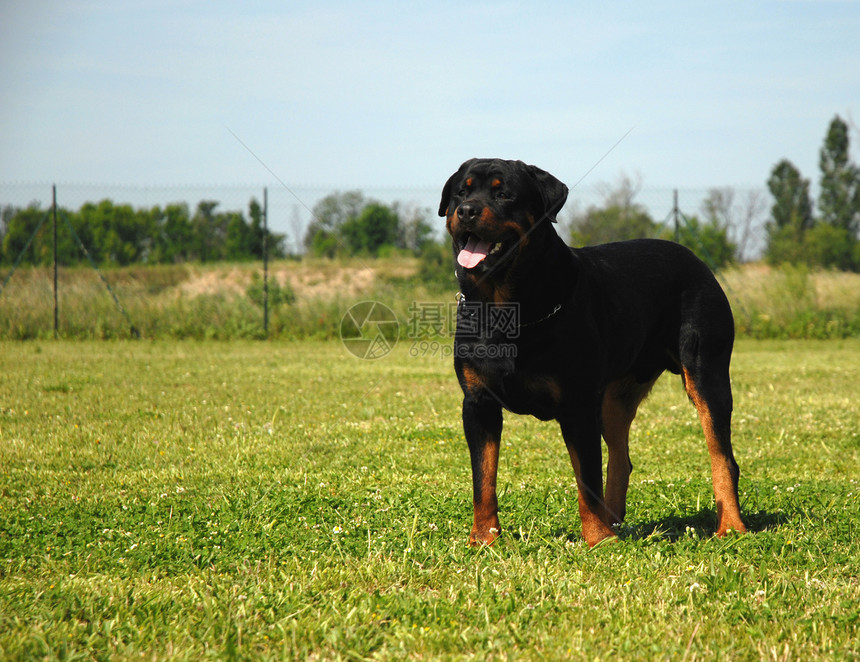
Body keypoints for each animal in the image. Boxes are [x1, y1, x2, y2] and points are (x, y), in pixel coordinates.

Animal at [436, 158, 744, 548]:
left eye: (503, 194)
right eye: (461, 193)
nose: (467, 210)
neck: (506, 307)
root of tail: (697, 260)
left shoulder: (578, 404)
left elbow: (587, 478)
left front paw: (596, 538)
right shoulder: (479, 404)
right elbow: (483, 478)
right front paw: (483, 538)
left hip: (707, 374)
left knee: (722, 455)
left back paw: (730, 525)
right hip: (614, 398)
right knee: (621, 458)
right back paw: (615, 522)